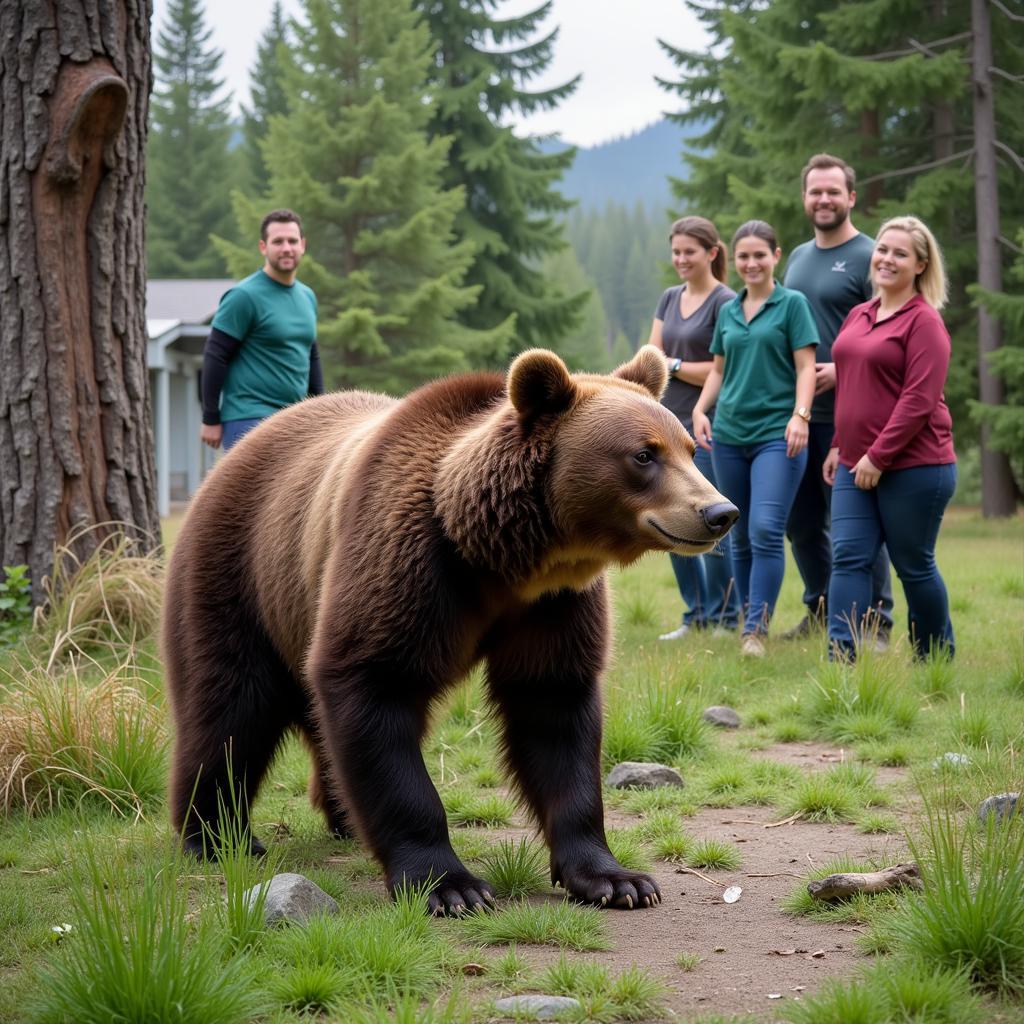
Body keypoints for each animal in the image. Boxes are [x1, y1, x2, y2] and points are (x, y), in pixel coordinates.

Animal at [163, 348, 737, 917]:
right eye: (644, 454)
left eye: (689, 448)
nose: (720, 511)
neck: (504, 559)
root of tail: (242, 446)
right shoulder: (406, 564)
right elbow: (375, 688)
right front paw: (450, 886)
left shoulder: (554, 606)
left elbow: (556, 714)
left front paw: (617, 880)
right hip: (240, 573)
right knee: (230, 706)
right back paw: (216, 835)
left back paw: (343, 818)